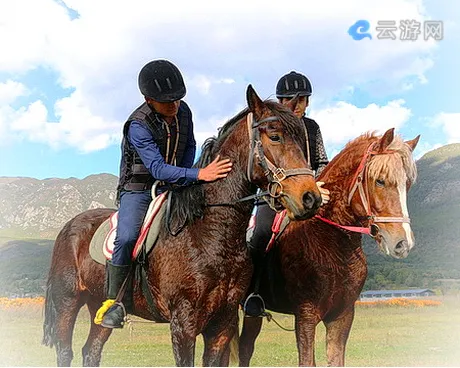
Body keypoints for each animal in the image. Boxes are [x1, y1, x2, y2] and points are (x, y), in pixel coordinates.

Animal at [42, 85, 324, 366]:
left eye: (303, 141)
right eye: (275, 137)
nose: (310, 198)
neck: (210, 232)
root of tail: (70, 225)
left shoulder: (223, 323)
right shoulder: (183, 323)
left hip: (98, 305)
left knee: (91, 350)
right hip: (68, 302)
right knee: (65, 351)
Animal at [237, 127, 420, 366]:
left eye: (407, 184)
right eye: (380, 181)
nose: (402, 243)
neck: (332, 243)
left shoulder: (342, 316)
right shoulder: (306, 315)